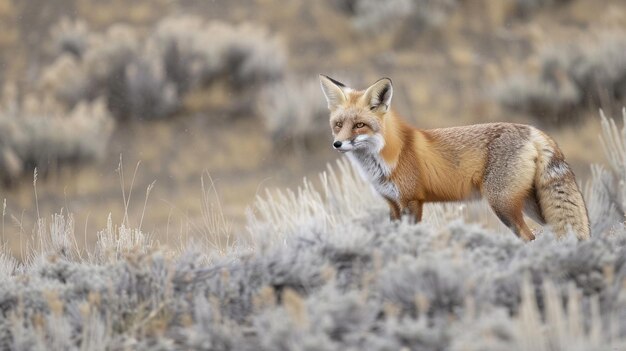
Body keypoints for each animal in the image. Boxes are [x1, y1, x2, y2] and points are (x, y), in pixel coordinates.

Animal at [320, 75, 588, 242]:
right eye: (338, 125)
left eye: (359, 125)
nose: (337, 144)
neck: (386, 158)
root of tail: (533, 130)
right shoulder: (393, 205)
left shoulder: (412, 201)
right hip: (533, 206)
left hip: (503, 205)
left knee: (529, 237)